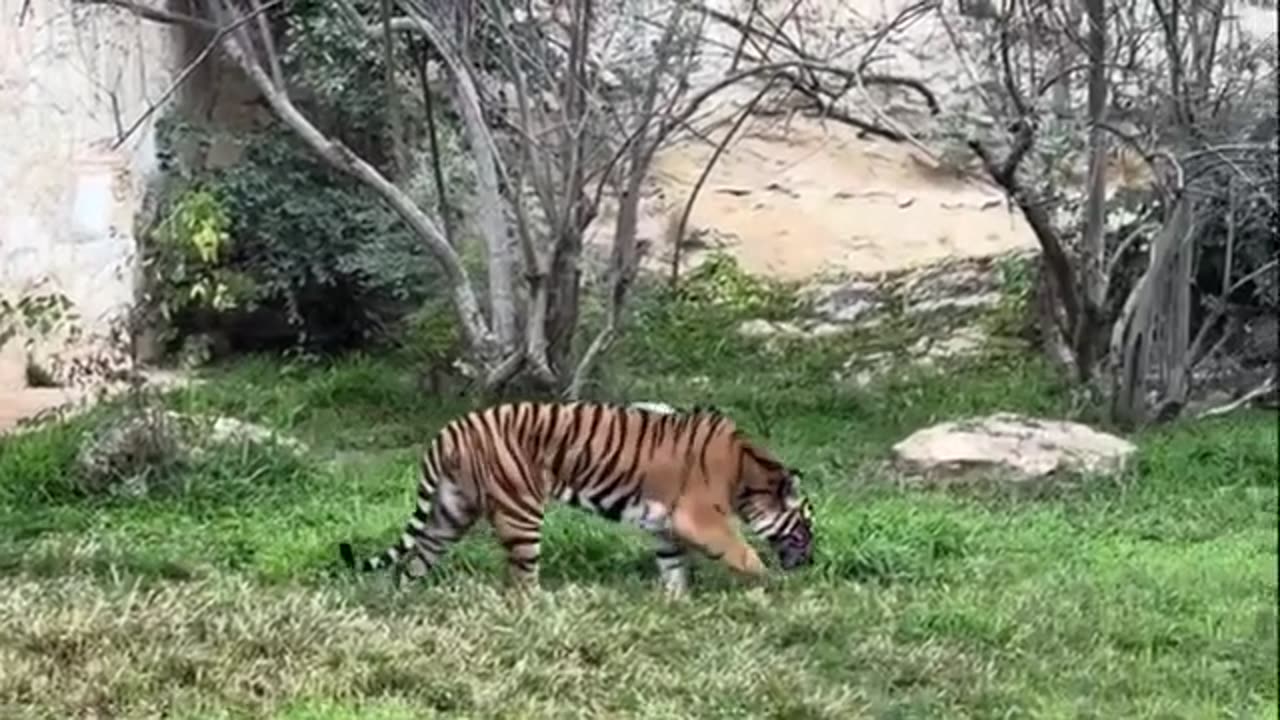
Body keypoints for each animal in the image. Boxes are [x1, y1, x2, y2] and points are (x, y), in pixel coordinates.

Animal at [337, 394, 819, 591]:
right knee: (520, 582)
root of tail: (452, 428)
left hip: (450, 510)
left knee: (414, 562)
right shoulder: (699, 517)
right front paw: (773, 588)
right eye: (806, 528)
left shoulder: (663, 523)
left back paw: (402, 603)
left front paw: (676, 602)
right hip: (520, 511)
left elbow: (674, 566)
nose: (812, 562)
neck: (747, 474)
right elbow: (744, 554)